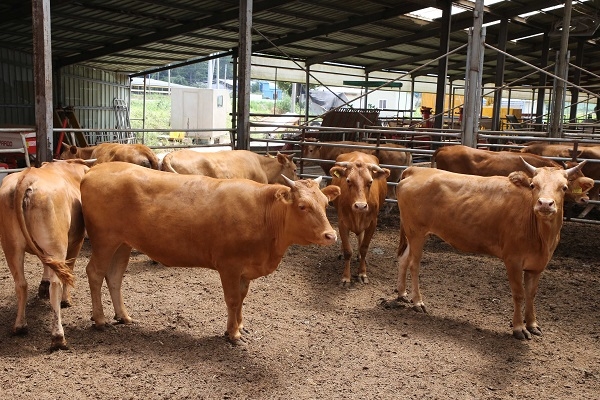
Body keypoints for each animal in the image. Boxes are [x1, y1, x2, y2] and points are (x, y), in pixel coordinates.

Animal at [0, 159, 91, 350]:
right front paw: (66, 300)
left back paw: (20, 326)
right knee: (56, 283)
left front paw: (43, 284)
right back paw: (58, 336)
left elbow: (45, 265)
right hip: (57, 245)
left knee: (21, 284)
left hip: (11, 246)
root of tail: (26, 176)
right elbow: (68, 271)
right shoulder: (76, 242)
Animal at [80, 161, 340, 346]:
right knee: (95, 272)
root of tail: (95, 169)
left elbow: (242, 298)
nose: (330, 235)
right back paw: (100, 319)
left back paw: (123, 316)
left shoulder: (245, 270)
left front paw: (239, 326)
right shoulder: (229, 266)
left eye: (326, 203)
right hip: (104, 240)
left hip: (122, 243)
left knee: (114, 277)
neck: (264, 213)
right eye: (302, 206)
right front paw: (233, 334)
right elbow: (233, 299)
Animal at [328, 152, 390, 286]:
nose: (360, 206)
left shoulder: (372, 223)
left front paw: (362, 273)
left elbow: (364, 248)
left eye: (370, 181)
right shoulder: (342, 223)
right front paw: (346, 277)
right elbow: (347, 251)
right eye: (348, 180)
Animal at [396, 160, 588, 340]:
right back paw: (418, 302)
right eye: (533, 185)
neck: (541, 236)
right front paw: (519, 328)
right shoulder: (513, 260)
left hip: (414, 234)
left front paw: (532, 324)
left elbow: (531, 294)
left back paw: (402, 294)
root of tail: (416, 169)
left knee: (404, 259)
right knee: (414, 264)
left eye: (564, 187)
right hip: (416, 232)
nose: (545, 204)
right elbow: (519, 294)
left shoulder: (537, 266)